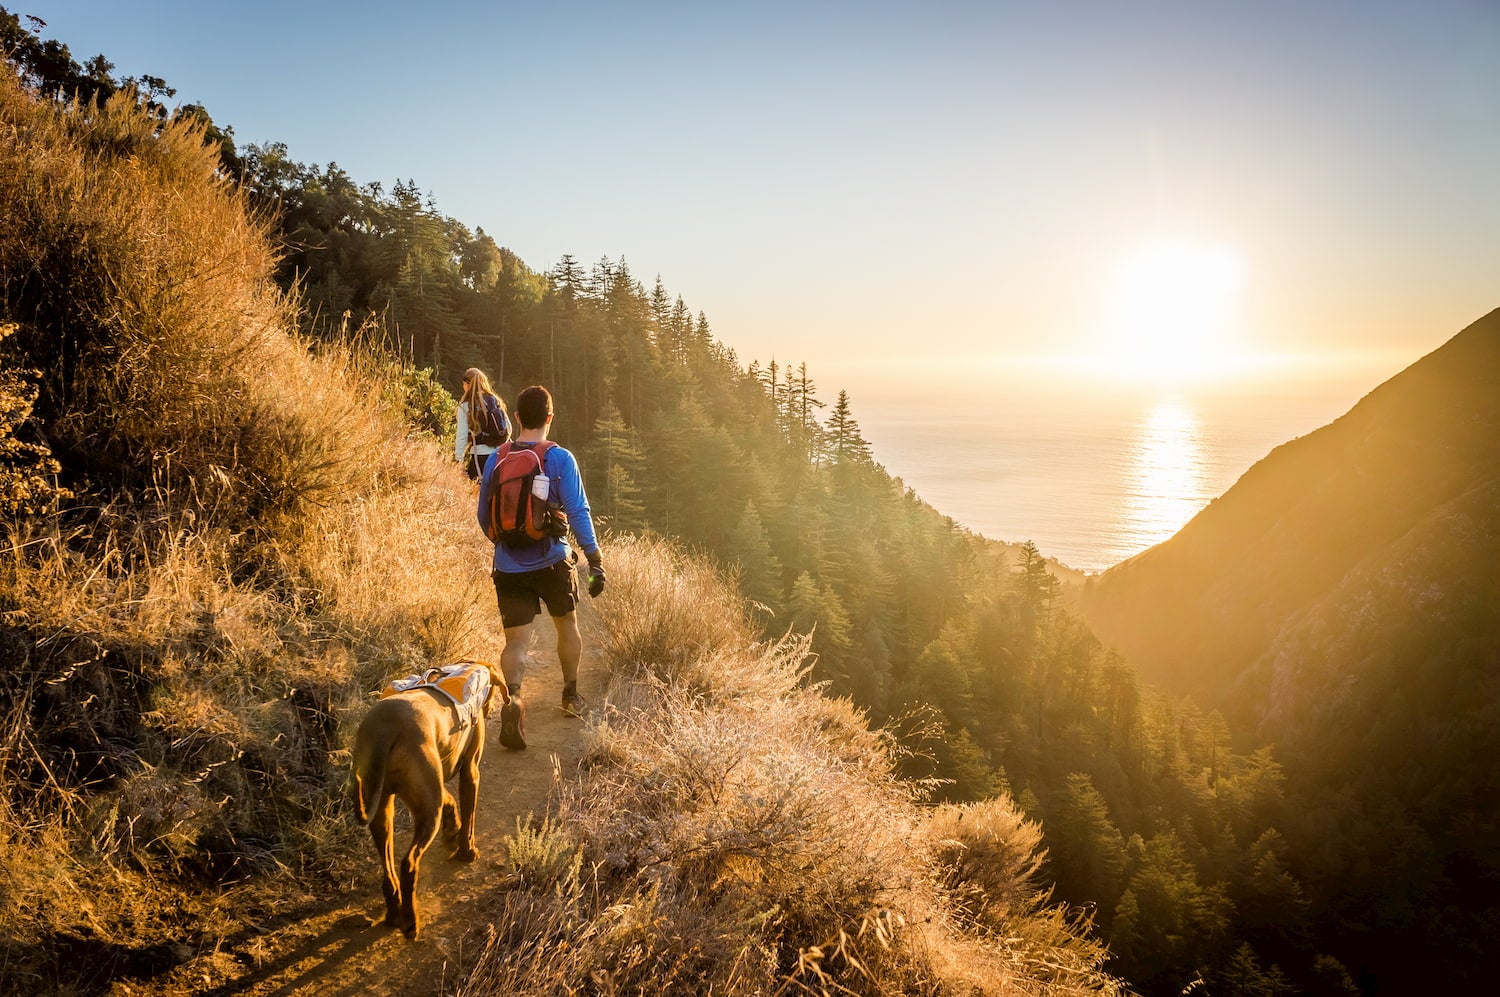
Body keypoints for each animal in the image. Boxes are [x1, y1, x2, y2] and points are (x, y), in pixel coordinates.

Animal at [345, 659, 504, 935]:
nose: (491, 709)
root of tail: (385, 727)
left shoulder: (435, 783)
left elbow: (449, 800)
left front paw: (452, 830)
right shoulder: (470, 772)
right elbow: (469, 816)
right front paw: (466, 850)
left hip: (384, 808)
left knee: (389, 871)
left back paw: (394, 913)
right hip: (428, 812)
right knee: (408, 864)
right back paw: (410, 921)